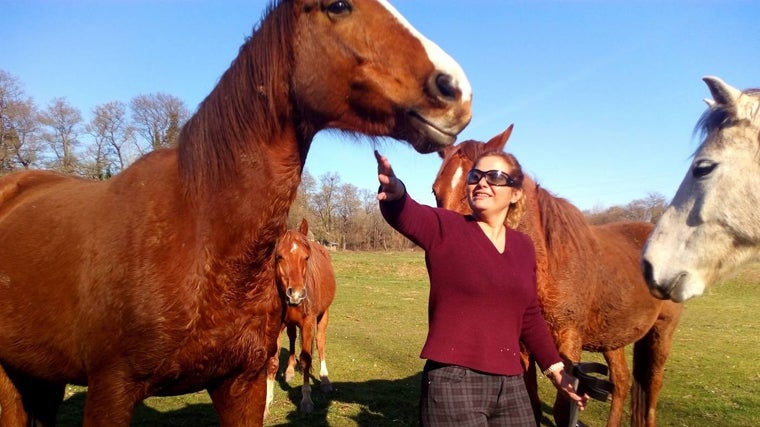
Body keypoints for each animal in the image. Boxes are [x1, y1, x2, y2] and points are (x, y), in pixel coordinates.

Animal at [268, 221, 338, 418]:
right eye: (279, 256)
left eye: (306, 258)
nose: (296, 294)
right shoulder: (277, 325)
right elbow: (273, 361)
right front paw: (267, 402)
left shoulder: (307, 324)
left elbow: (306, 359)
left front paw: (306, 401)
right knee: (292, 338)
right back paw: (290, 370)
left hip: (324, 315)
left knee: (320, 342)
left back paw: (325, 380)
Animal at [434, 127, 684, 427]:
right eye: (436, 191)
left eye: (483, 186)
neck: (548, 265)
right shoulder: (522, 347)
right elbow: (531, 403)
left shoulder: (569, 342)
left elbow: (563, 407)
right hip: (613, 335)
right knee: (622, 381)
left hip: (662, 332)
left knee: (652, 386)